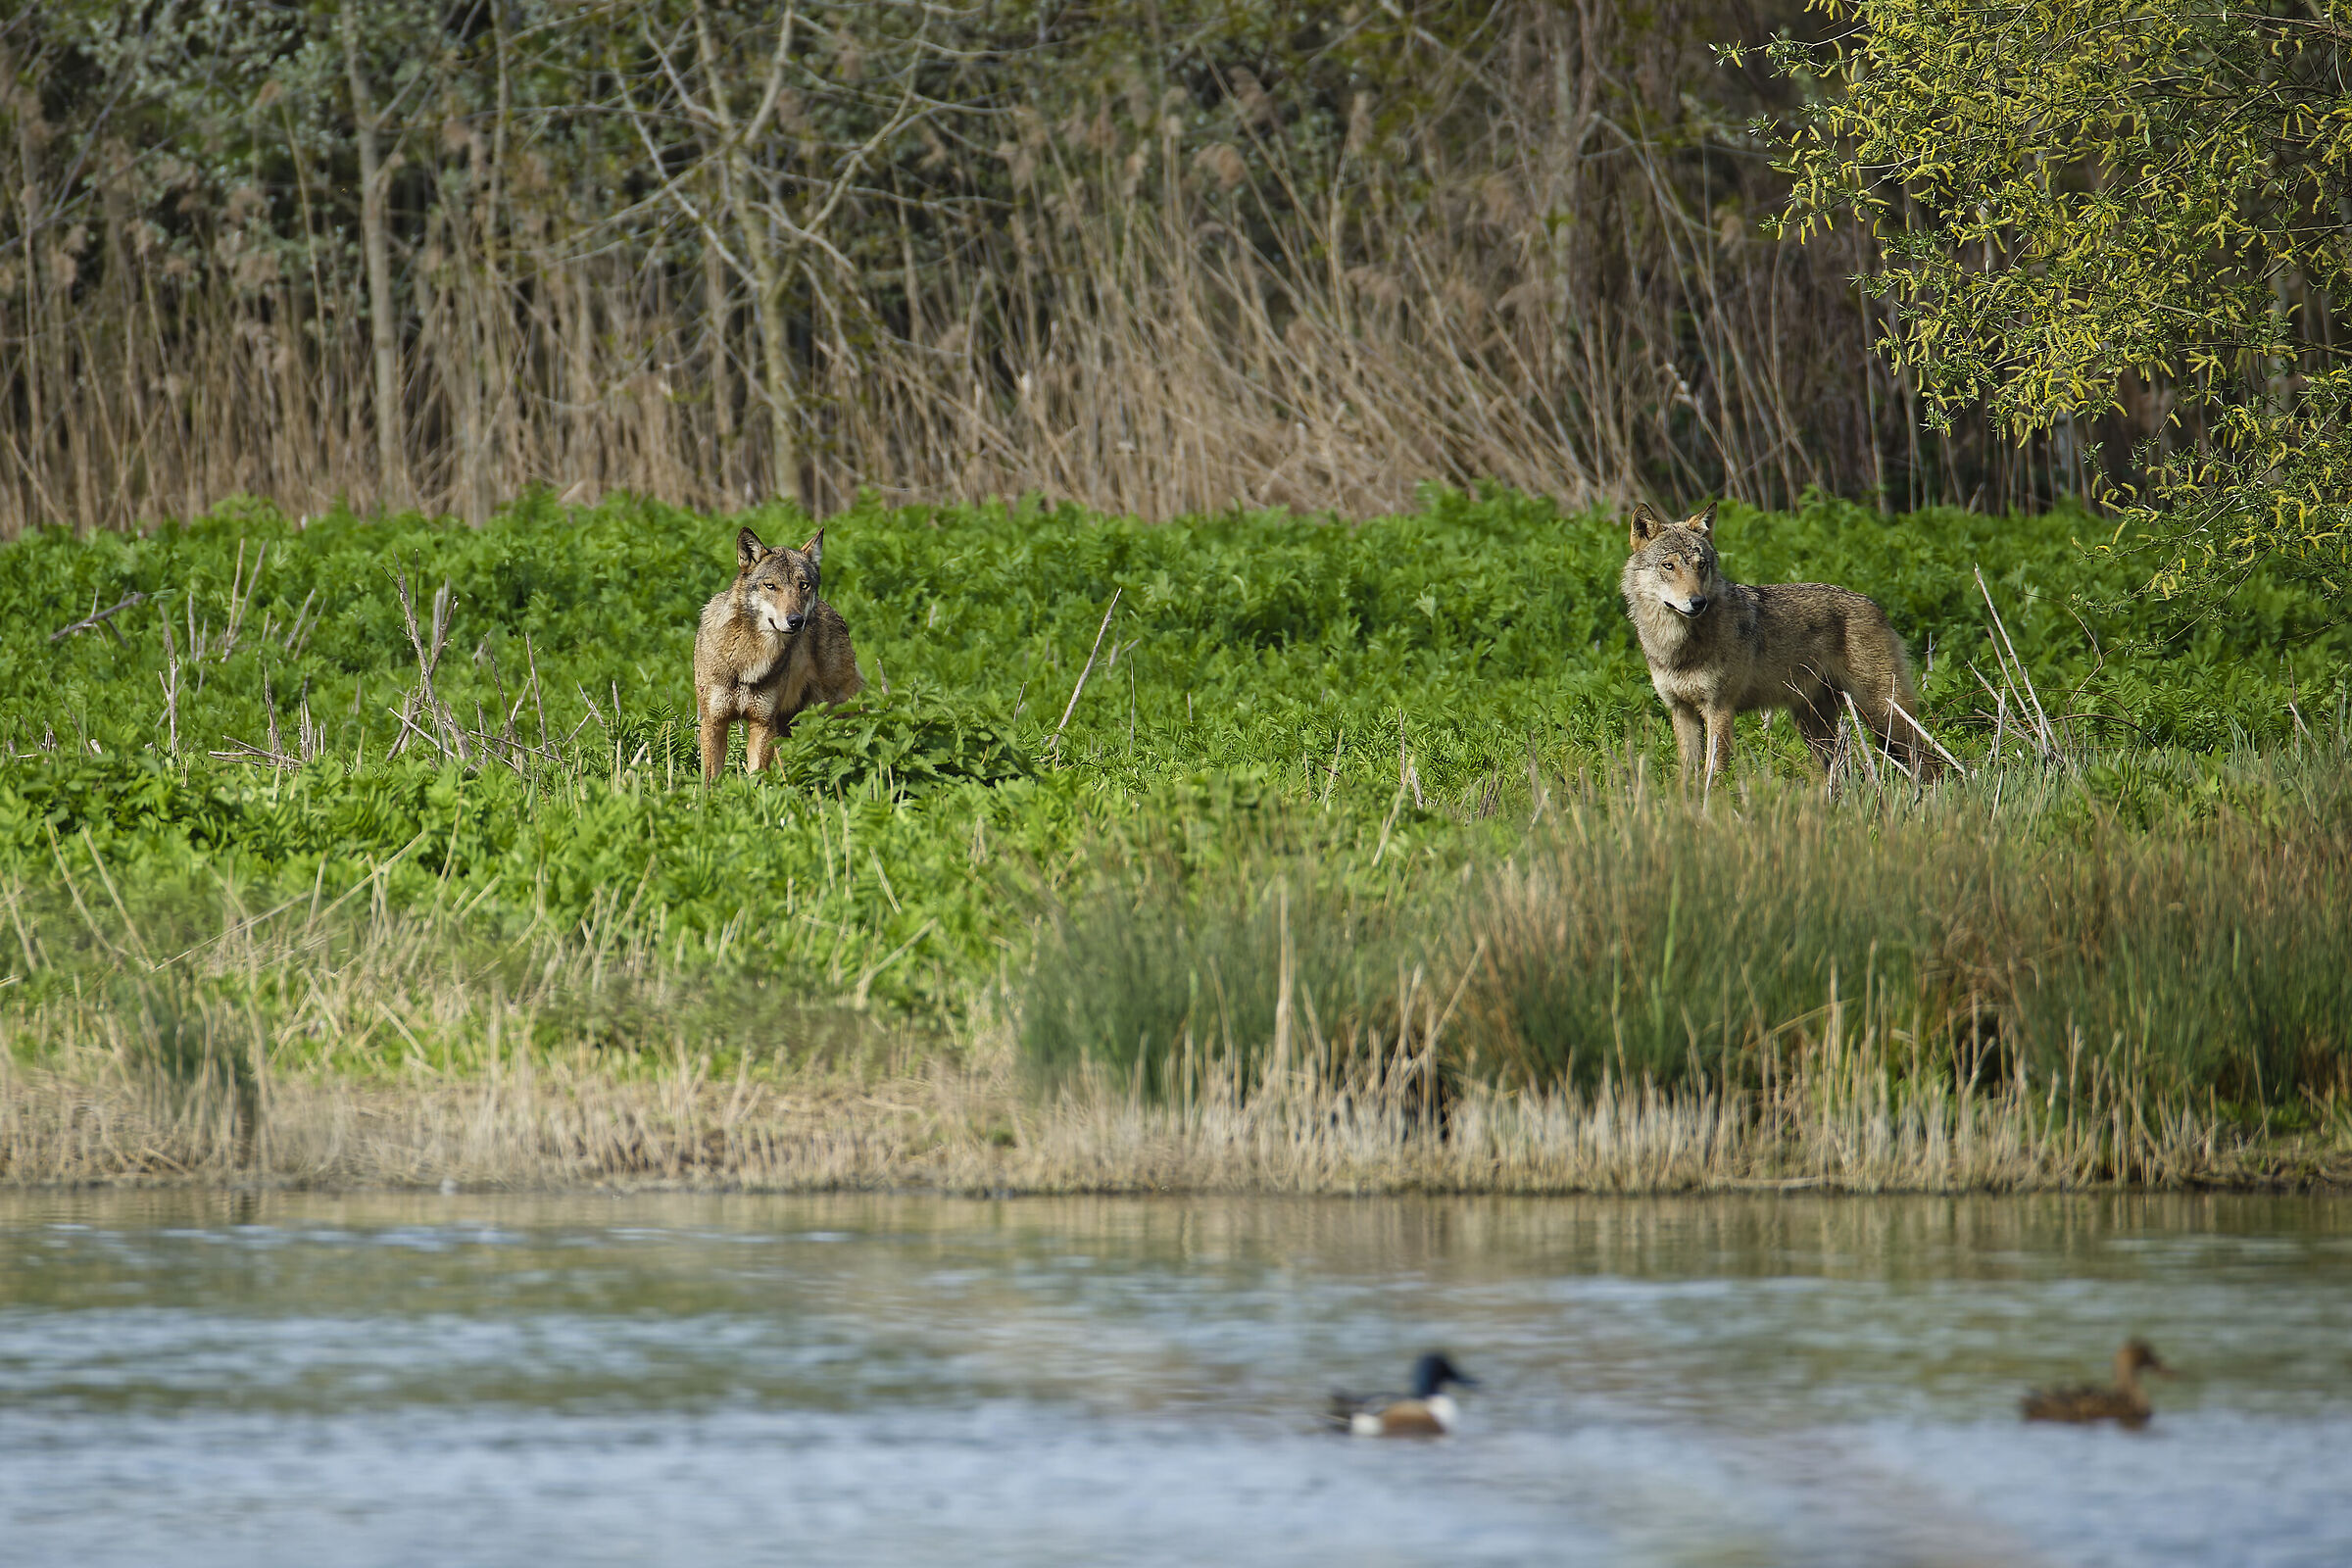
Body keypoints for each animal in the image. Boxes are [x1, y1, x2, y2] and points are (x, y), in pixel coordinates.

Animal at [694, 526, 864, 782]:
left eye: (803, 585)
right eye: (771, 586)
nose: (796, 621)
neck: (748, 657)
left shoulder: (763, 724)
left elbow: (756, 776)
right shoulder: (714, 723)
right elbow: (710, 781)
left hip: (831, 713)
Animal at [1620, 501, 1939, 786]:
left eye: (1702, 566)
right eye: (1668, 566)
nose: (1698, 602)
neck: (1676, 646)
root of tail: (1876, 606)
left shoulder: (1719, 709)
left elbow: (1716, 773)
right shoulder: (1681, 711)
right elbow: (1688, 774)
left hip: (1884, 714)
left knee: (1928, 760)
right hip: (1814, 726)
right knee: (1837, 771)